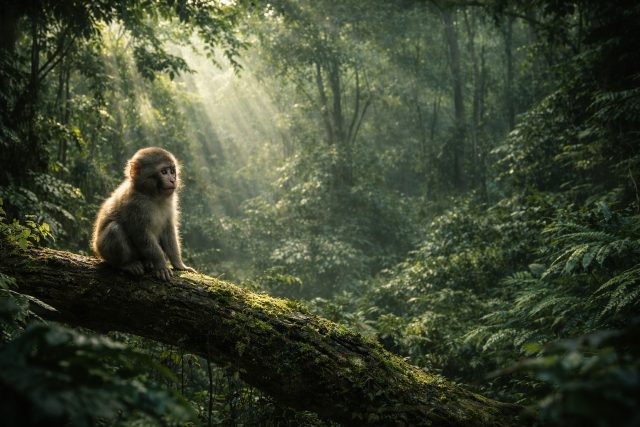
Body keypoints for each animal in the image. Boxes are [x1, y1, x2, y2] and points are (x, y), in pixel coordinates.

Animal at [92, 147, 195, 281]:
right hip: (102, 250)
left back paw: (147, 262)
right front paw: (161, 264)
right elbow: (141, 234)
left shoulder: (170, 202)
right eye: (163, 172)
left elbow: (168, 231)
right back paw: (126, 264)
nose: (173, 180)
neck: (152, 196)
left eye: (172, 171)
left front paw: (179, 265)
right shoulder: (134, 205)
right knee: (114, 229)